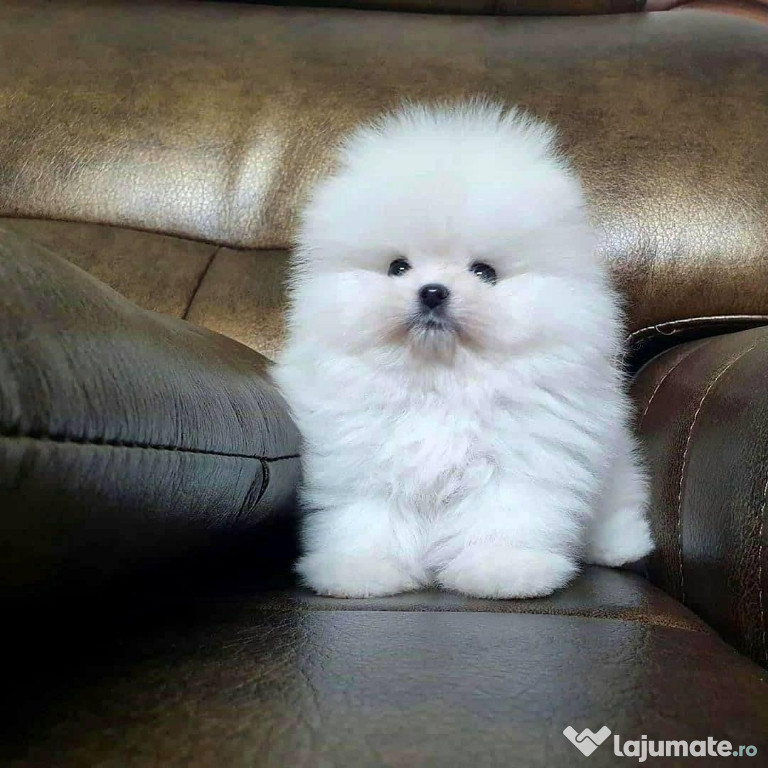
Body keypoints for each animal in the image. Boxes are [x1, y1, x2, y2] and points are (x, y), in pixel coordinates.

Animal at [273, 100, 653, 598]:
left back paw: (619, 546)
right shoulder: (367, 460)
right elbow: (369, 518)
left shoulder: (518, 462)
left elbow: (502, 517)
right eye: (398, 267)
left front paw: (502, 569)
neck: (441, 383)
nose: (433, 292)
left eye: (484, 272)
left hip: (617, 470)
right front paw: (363, 570)